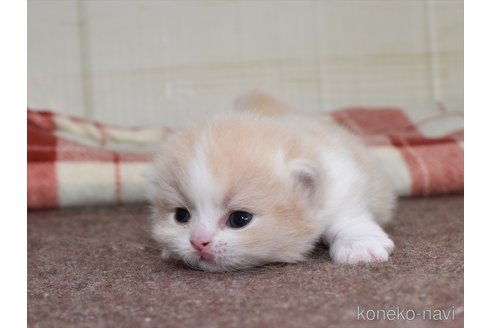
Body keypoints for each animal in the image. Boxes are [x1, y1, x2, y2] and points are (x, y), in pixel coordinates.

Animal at [148, 90, 394, 272]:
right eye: (181, 215)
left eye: (239, 219)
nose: (198, 242)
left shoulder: (343, 178)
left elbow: (348, 216)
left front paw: (360, 246)